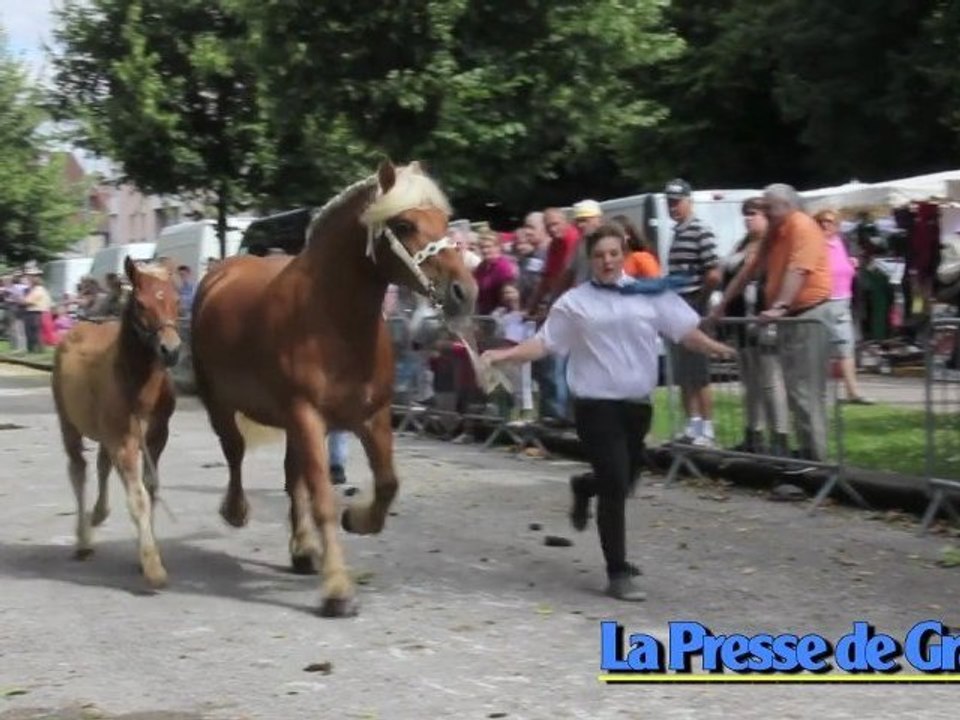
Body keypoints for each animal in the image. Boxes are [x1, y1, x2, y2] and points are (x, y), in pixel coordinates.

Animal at [50, 256, 181, 588]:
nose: (171, 351)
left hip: (106, 432)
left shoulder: (156, 437)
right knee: (78, 469)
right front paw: (153, 567)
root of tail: (79, 325)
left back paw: (98, 515)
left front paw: (147, 554)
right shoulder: (124, 441)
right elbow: (139, 498)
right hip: (69, 423)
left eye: (176, 300)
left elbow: (151, 488)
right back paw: (83, 539)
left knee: (101, 464)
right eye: (141, 303)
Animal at [190, 159, 478, 617]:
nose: (464, 292)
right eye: (405, 224)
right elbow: (323, 497)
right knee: (234, 452)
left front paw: (356, 521)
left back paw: (304, 550)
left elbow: (386, 485)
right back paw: (237, 511)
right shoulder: (307, 416)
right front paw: (339, 589)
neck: (330, 320)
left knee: (291, 477)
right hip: (219, 402)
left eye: (443, 220)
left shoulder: (371, 416)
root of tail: (221, 270)